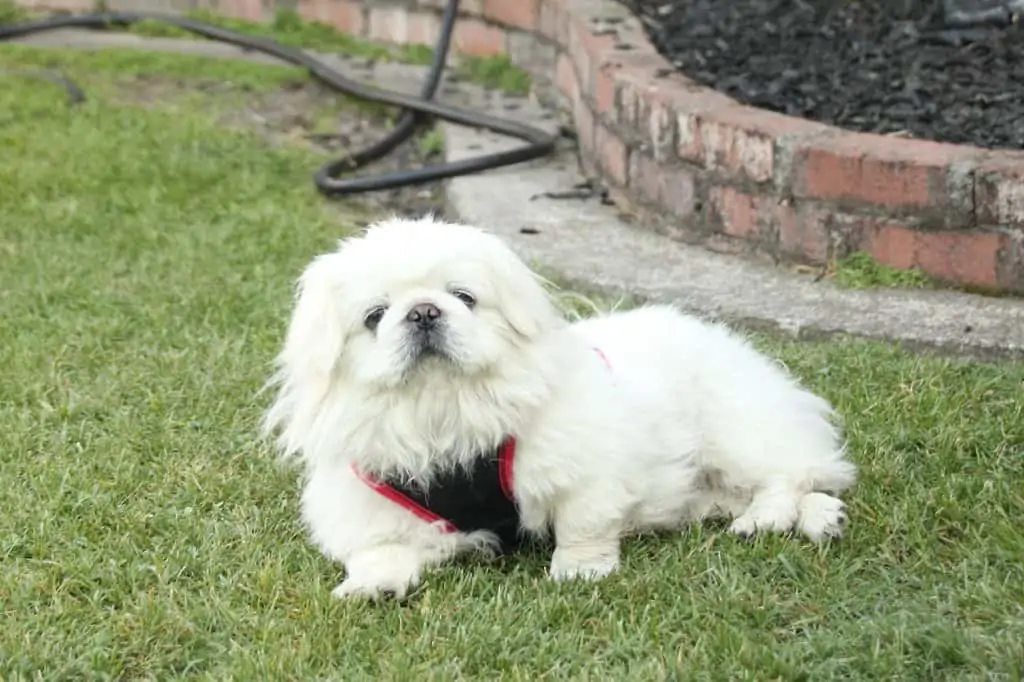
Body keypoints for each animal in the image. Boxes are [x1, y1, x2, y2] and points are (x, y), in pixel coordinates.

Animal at [264, 215, 856, 598]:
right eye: (375, 316)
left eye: (464, 297)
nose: (425, 312)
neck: (446, 408)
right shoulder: (367, 500)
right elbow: (377, 549)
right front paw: (372, 585)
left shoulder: (585, 474)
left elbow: (582, 527)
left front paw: (579, 572)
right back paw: (821, 519)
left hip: (735, 434)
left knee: (791, 473)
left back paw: (768, 518)